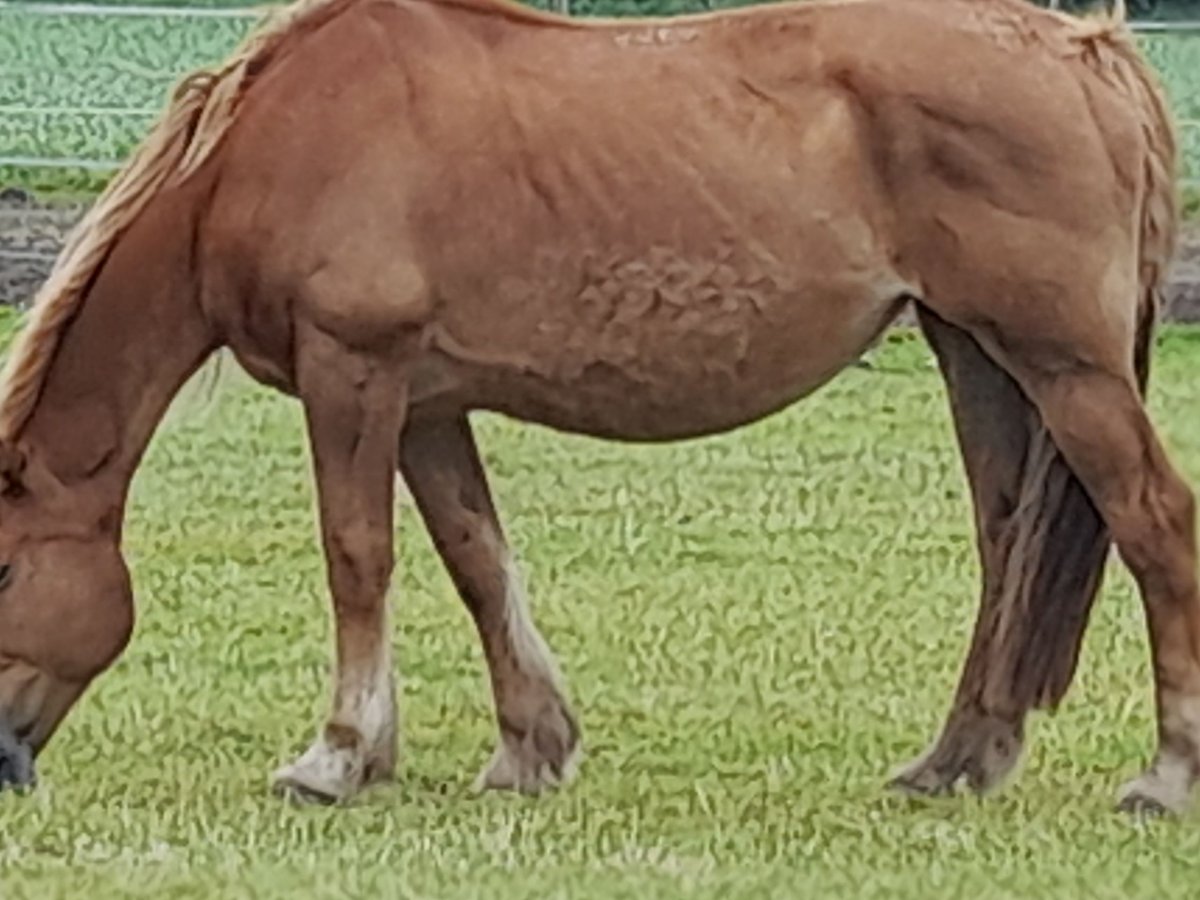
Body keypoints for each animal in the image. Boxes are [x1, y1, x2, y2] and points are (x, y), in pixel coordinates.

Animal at [0, 0, 1190, 816]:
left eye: (6, 571)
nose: (5, 763)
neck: (270, 147)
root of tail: (1085, 51)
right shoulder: (424, 404)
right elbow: (477, 559)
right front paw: (530, 745)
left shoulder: (353, 372)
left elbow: (358, 557)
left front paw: (335, 756)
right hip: (975, 352)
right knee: (1006, 548)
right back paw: (958, 760)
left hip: (1066, 364)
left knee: (1154, 522)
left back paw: (1166, 774)